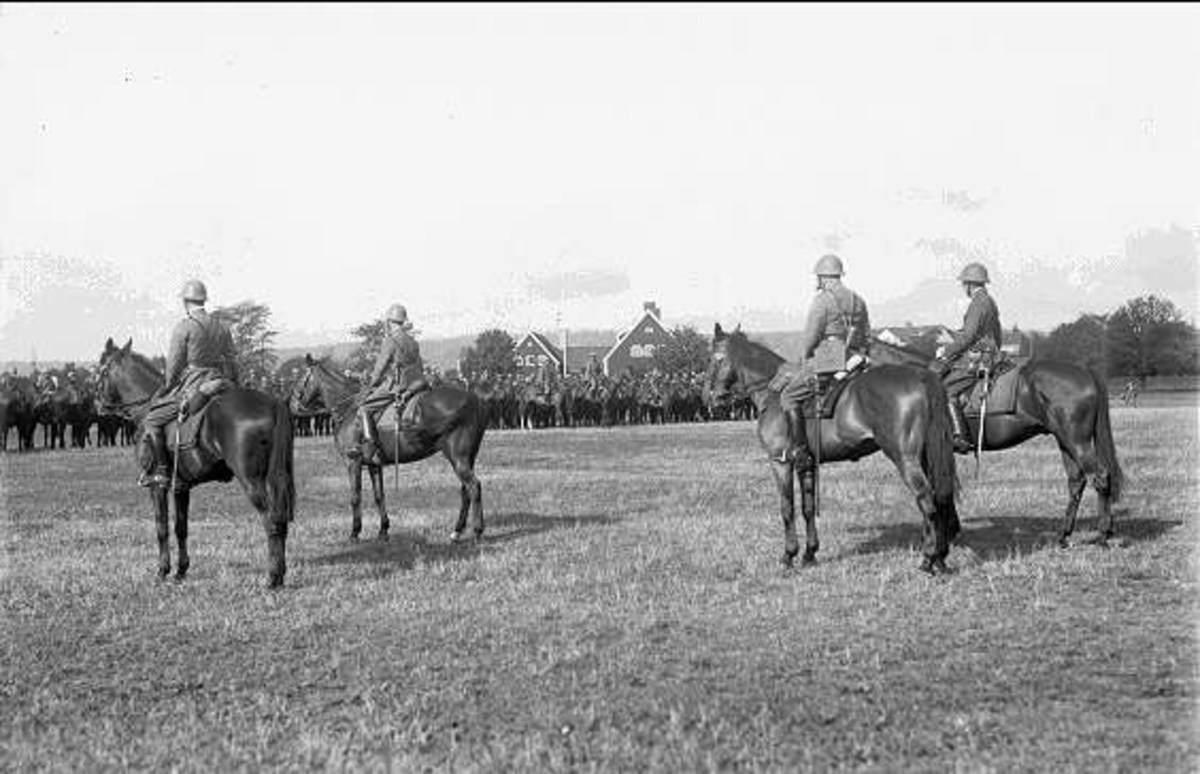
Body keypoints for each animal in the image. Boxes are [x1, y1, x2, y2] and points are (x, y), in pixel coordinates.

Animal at [97, 338, 296, 585]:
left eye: (101, 369)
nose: (98, 404)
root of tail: (273, 402)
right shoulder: (181, 486)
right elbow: (180, 528)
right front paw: (180, 571)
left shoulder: (156, 486)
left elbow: (161, 527)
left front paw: (162, 570)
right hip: (277, 477)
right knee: (281, 520)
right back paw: (280, 574)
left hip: (252, 481)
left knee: (271, 521)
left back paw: (272, 577)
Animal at [292, 352, 484, 540]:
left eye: (302, 379)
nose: (292, 405)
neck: (349, 410)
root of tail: (473, 399)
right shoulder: (373, 465)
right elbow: (379, 495)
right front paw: (383, 530)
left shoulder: (352, 462)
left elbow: (355, 496)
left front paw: (355, 531)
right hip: (468, 458)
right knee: (465, 490)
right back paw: (457, 530)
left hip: (457, 457)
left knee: (473, 487)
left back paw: (477, 531)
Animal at [705, 324, 960, 571]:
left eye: (716, 358)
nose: (709, 397)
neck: (773, 393)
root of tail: (922, 376)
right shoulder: (807, 465)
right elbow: (807, 508)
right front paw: (809, 553)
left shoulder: (780, 462)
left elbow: (787, 508)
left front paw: (788, 555)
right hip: (926, 457)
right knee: (941, 500)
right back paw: (940, 557)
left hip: (905, 458)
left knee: (927, 500)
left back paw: (928, 559)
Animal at [868, 338, 1118, 542]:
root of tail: (1086, 372)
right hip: (1066, 442)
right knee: (1077, 482)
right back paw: (1064, 534)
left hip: (1078, 442)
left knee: (1100, 477)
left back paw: (1104, 533)